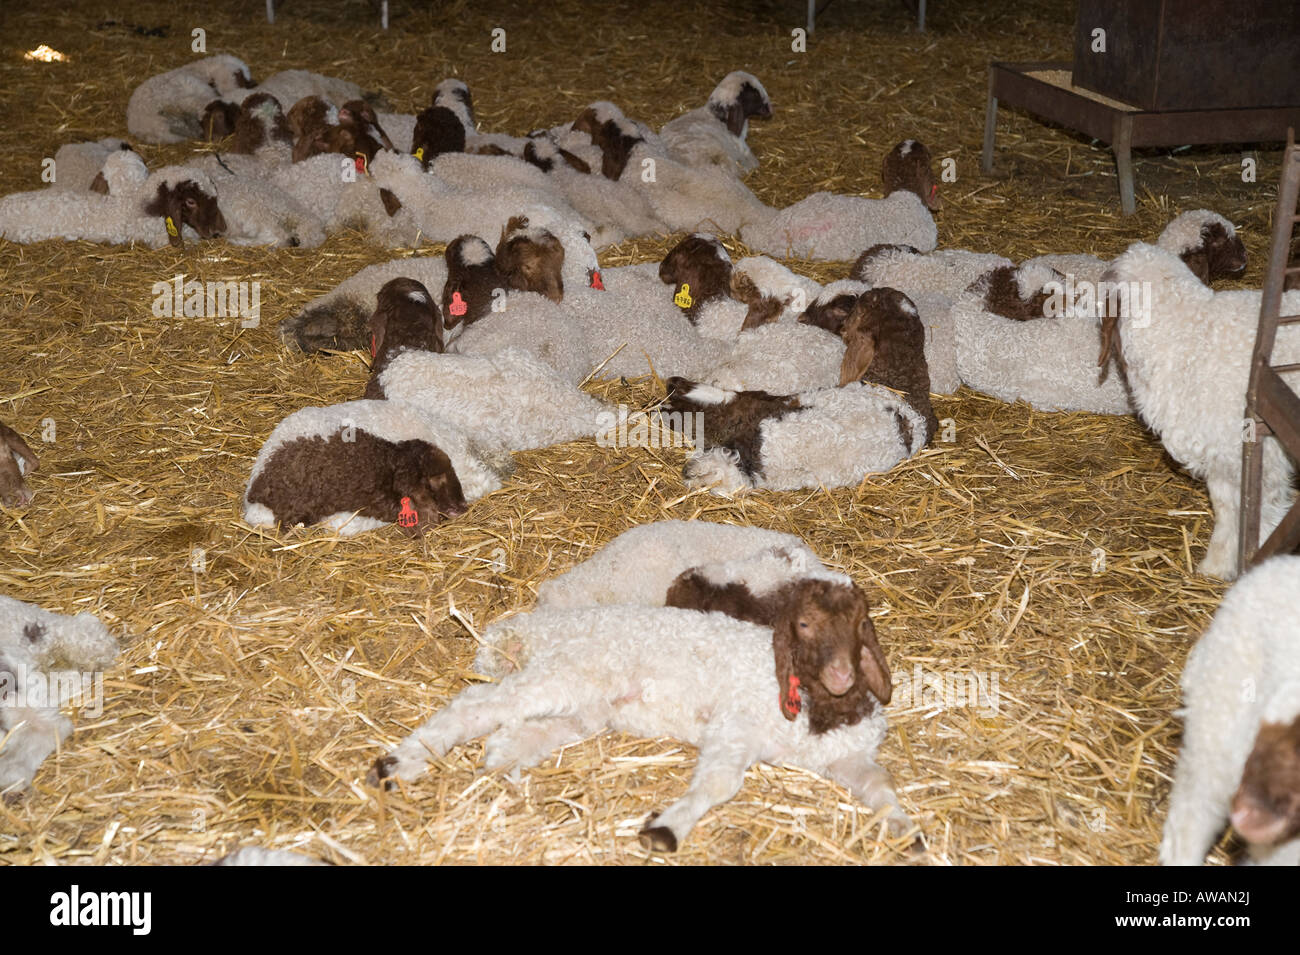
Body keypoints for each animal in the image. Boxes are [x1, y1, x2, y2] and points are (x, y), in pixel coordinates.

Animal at [1099, 241, 1300, 579]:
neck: (1189, 336)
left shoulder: (1261, 458)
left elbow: (1258, 517)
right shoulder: (1222, 457)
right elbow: (1227, 510)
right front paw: (1216, 566)